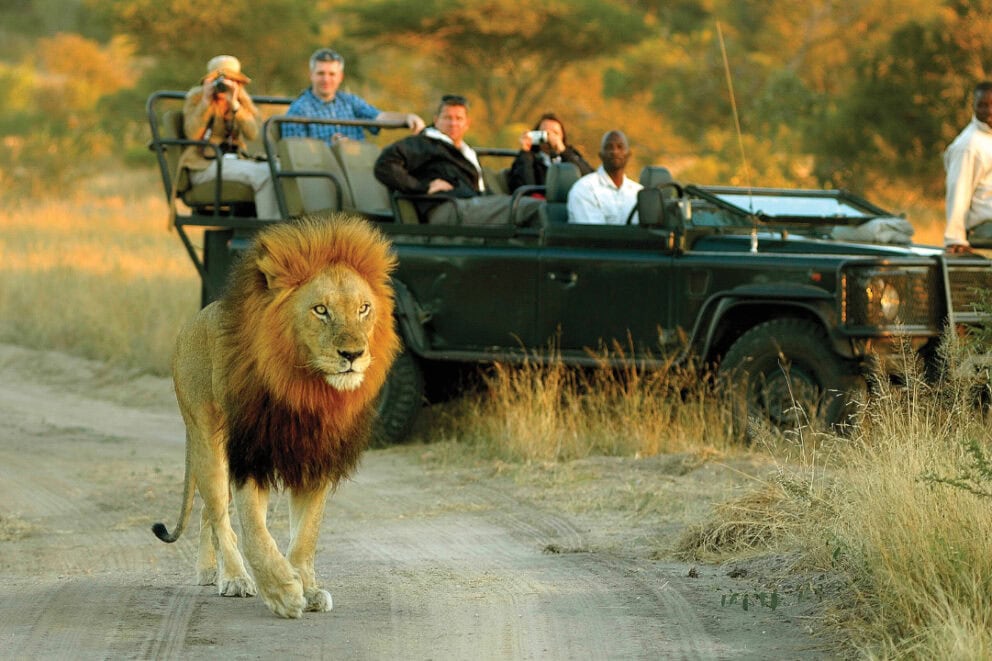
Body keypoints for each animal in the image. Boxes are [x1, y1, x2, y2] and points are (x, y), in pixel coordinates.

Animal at [152, 213, 400, 619]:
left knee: (209, 513)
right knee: (219, 514)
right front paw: (283, 591)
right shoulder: (252, 454)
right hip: (208, 441)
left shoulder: (317, 461)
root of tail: (196, 318)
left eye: (364, 308)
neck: (307, 389)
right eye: (321, 310)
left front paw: (308, 588)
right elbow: (256, 531)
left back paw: (208, 571)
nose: (353, 354)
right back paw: (234, 577)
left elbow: (306, 536)